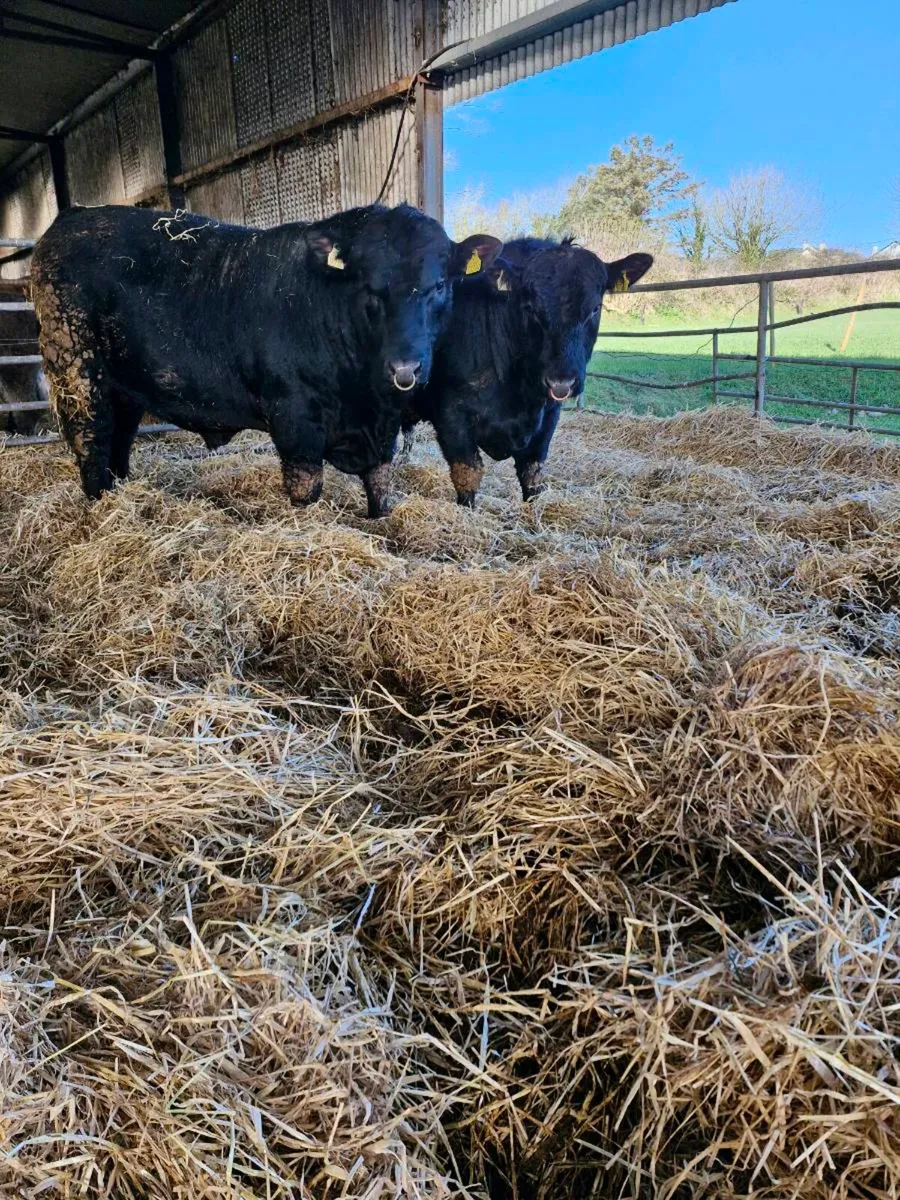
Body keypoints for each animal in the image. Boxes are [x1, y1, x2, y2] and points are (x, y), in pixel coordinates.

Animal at [30, 204, 501, 516]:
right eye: (370, 287)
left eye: (439, 285)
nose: (405, 369)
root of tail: (72, 217)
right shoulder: (294, 419)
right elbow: (306, 487)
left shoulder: (380, 431)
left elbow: (380, 486)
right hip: (78, 374)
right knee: (91, 443)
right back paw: (99, 509)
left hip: (124, 388)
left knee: (119, 445)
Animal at [405, 237, 653, 506]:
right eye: (531, 307)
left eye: (595, 308)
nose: (561, 382)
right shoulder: (451, 416)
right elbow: (468, 476)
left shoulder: (549, 417)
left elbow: (532, 474)